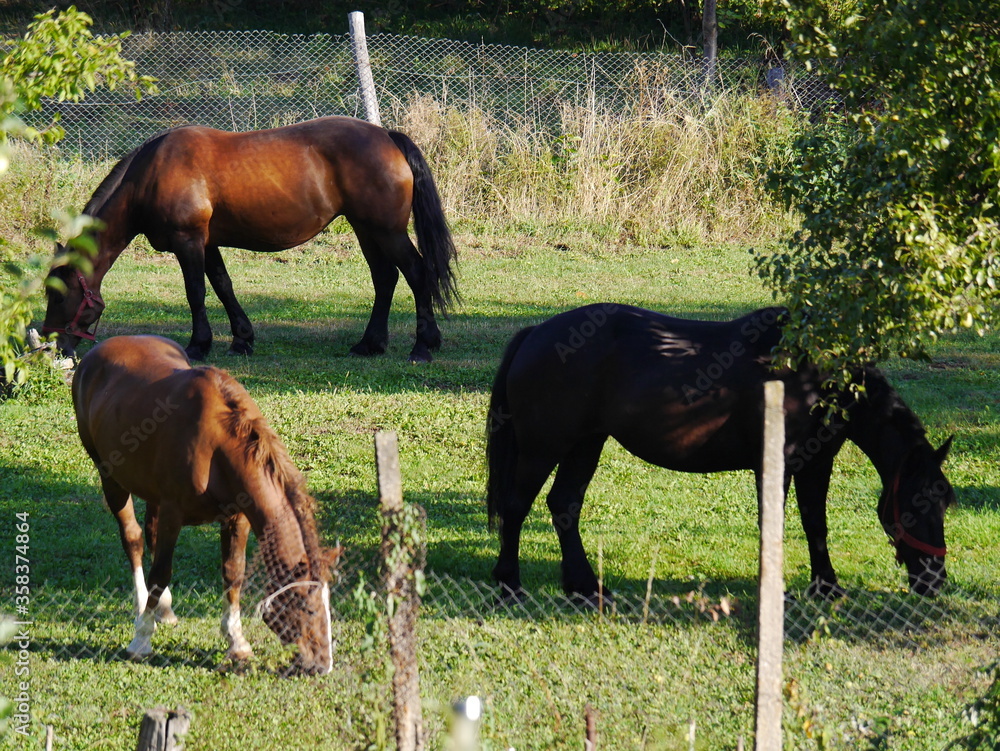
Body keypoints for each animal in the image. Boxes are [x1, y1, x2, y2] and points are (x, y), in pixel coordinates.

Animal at [43, 116, 458, 363]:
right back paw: (370, 343)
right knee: (385, 279)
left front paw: (198, 345)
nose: (54, 347)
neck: (152, 173)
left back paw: (423, 346)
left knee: (417, 274)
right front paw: (242, 338)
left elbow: (196, 291)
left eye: (58, 296)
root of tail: (387, 136)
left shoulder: (188, 241)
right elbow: (223, 285)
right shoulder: (206, 243)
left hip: (387, 231)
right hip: (367, 229)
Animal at [72, 334, 339, 673]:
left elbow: (233, 572)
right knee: (133, 540)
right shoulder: (173, 512)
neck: (216, 445)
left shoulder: (237, 518)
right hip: (112, 480)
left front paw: (236, 642)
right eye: (307, 608)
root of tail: (96, 352)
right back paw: (143, 606)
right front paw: (141, 638)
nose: (323, 664)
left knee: (150, 533)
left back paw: (163, 609)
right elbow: (161, 573)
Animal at [486, 303, 955, 603]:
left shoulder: (815, 464)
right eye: (918, 502)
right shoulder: (778, 464)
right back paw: (510, 585)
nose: (935, 581)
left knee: (564, 505)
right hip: (543, 448)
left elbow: (815, 525)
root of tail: (535, 334)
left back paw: (585, 587)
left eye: (944, 502)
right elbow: (776, 525)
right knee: (517, 506)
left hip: (586, 444)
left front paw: (827, 588)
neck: (812, 379)